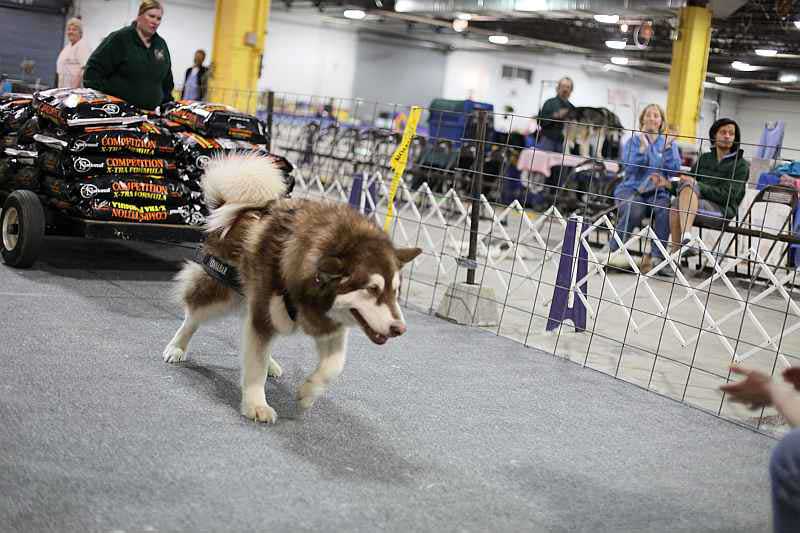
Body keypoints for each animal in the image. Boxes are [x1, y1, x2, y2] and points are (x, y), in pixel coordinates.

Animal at [165, 152, 422, 422]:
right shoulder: (266, 315)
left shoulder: (326, 322)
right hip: (222, 291)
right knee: (194, 315)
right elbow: (255, 364)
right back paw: (176, 347)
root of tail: (235, 209)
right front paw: (256, 404)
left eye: (395, 291)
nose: (399, 329)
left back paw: (271, 363)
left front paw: (309, 392)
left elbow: (335, 364)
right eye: (372, 289)